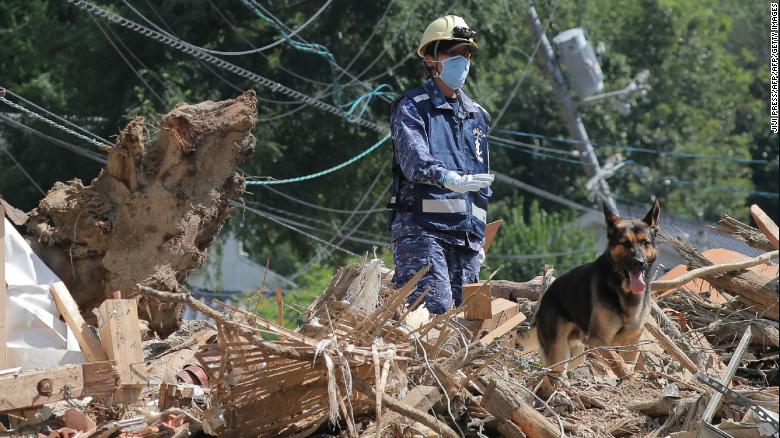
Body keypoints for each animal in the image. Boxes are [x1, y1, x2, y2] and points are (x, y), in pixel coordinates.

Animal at [536, 200, 660, 378]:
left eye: (645, 243)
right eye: (626, 244)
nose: (639, 262)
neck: (623, 291)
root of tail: (546, 295)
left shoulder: (632, 341)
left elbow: (627, 361)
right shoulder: (598, 339)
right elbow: (615, 358)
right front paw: (624, 373)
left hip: (576, 353)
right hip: (559, 352)